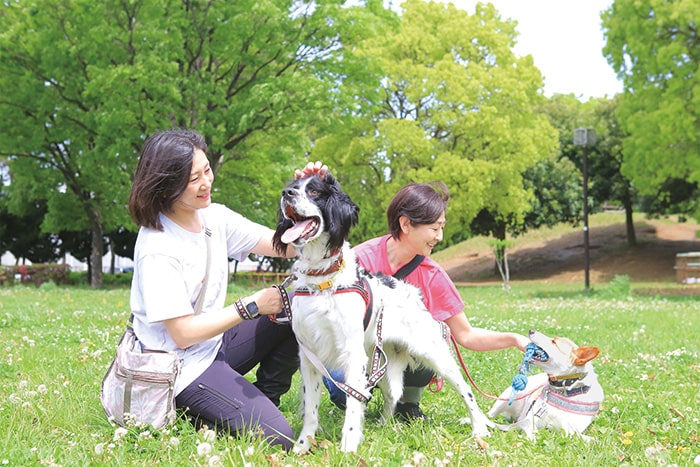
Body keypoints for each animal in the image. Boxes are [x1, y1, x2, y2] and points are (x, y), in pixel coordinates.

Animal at [270, 172, 490, 454]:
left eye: (315, 192)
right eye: (293, 187)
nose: (286, 194)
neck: (323, 279)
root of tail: (414, 294)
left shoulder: (352, 354)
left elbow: (353, 406)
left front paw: (348, 447)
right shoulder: (309, 356)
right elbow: (311, 409)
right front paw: (303, 445)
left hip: (435, 355)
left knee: (467, 392)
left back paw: (480, 430)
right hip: (384, 363)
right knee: (391, 396)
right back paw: (385, 426)